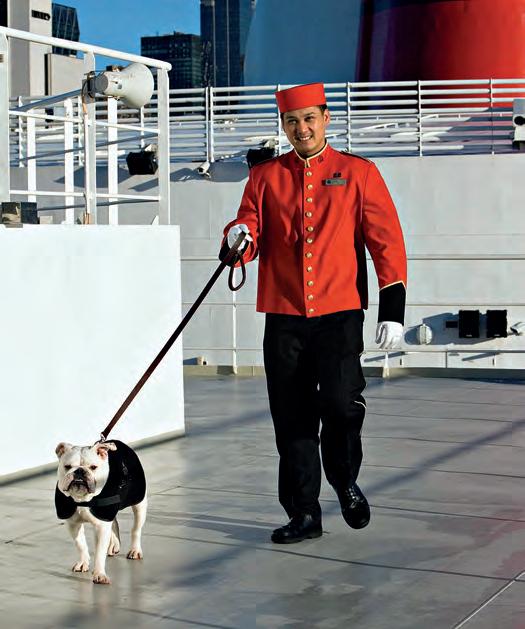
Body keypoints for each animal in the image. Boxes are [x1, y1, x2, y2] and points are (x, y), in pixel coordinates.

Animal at [55, 440, 147, 584]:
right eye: (67, 466)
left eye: (93, 467)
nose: (79, 471)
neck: (82, 499)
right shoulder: (73, 524)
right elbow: (80, 544)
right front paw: (83, 563)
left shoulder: (101, 526)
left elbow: (99, 552)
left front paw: (99, 574)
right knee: (113, 521)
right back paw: (114, 544)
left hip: (139, 502)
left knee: (136, 529)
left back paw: (135, 550)